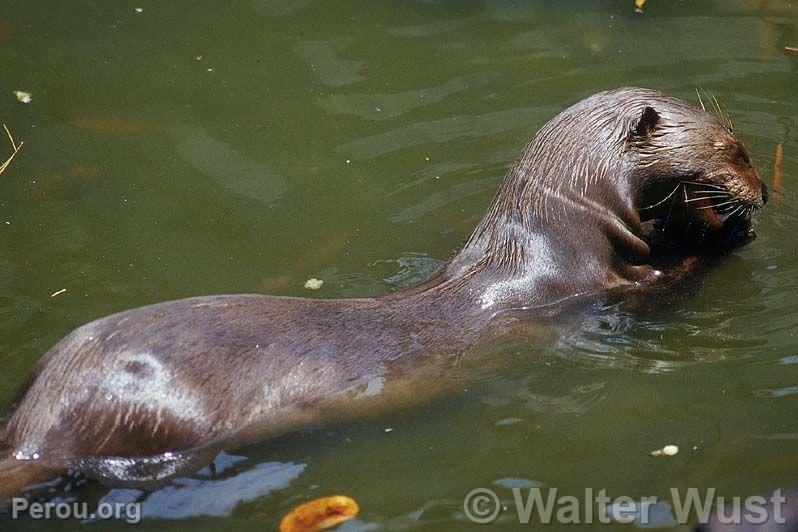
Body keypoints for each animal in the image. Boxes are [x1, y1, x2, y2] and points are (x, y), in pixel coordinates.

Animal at [0, 87, 768, 498]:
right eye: (735, 149)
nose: (762, 189)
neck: (554, 230)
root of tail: (44, 410)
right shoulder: (597, 288)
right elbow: (669, 279)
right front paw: (726, 233)